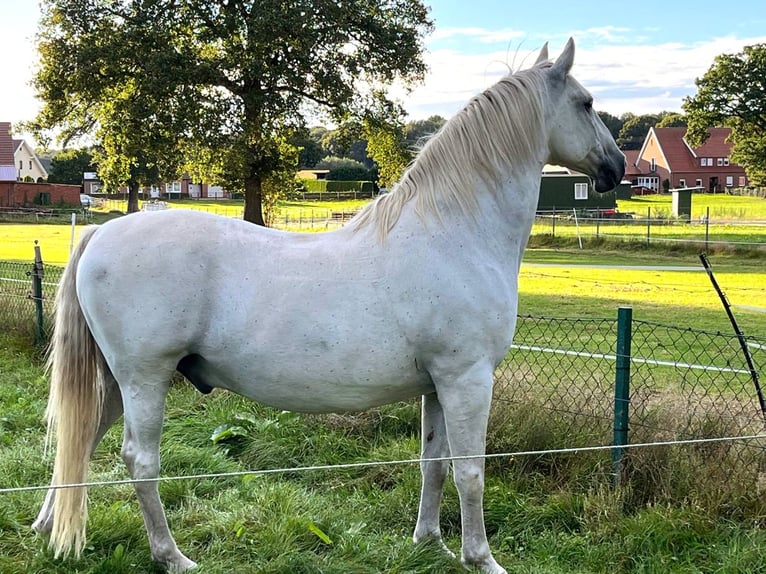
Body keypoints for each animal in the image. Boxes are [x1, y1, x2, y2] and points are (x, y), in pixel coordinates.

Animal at [34, 38, 624, 572]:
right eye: (586, 102)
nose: (616, 167)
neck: (454, 232)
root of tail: (102, 233)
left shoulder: (438, 385)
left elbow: (433, 463)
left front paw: (429, 544)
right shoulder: (468, 380)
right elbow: (470, 472)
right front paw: (480, 558)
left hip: (118, 382)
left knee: (79, 439)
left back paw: (46, 525)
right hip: (145, 379)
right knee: (140, 461)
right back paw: (171, 556)